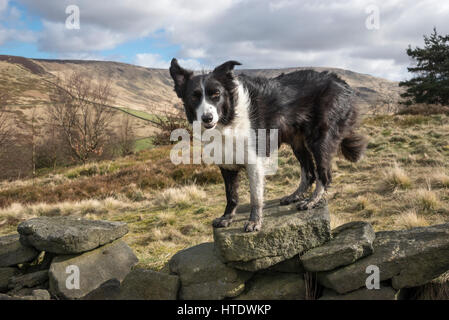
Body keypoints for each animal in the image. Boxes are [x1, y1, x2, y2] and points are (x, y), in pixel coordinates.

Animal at [170, 58, 366, 232]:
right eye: (194, 97)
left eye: (216, 94)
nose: (207, 118)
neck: (229, 119)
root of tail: (341, 82)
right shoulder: (226, 163)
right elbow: (231, 195)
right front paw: (227, 217)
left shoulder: (254, 161)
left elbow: (255, 197)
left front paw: (254, 222)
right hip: (297, 142)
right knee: (309, 173)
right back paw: (295, 196)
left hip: (320, 140)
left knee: (324, 175)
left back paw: (312, 200)